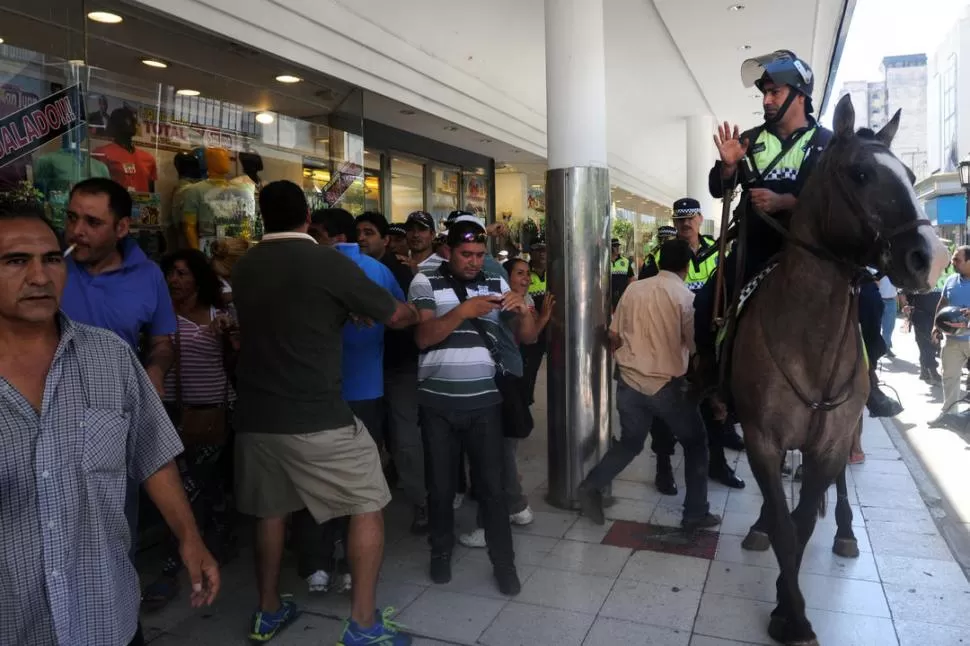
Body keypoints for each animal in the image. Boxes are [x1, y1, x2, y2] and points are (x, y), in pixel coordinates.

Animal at [728, 92, 944, 646]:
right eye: (861, 173)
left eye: (912, 175)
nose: (929, 259)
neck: (810, 340)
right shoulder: (762, 438)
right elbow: (786, 526)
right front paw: (792, 611)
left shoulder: (826, 444)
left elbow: (803, 525)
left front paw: (789, 609)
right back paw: (760, 524)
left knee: (842, 480)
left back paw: (845, 531)